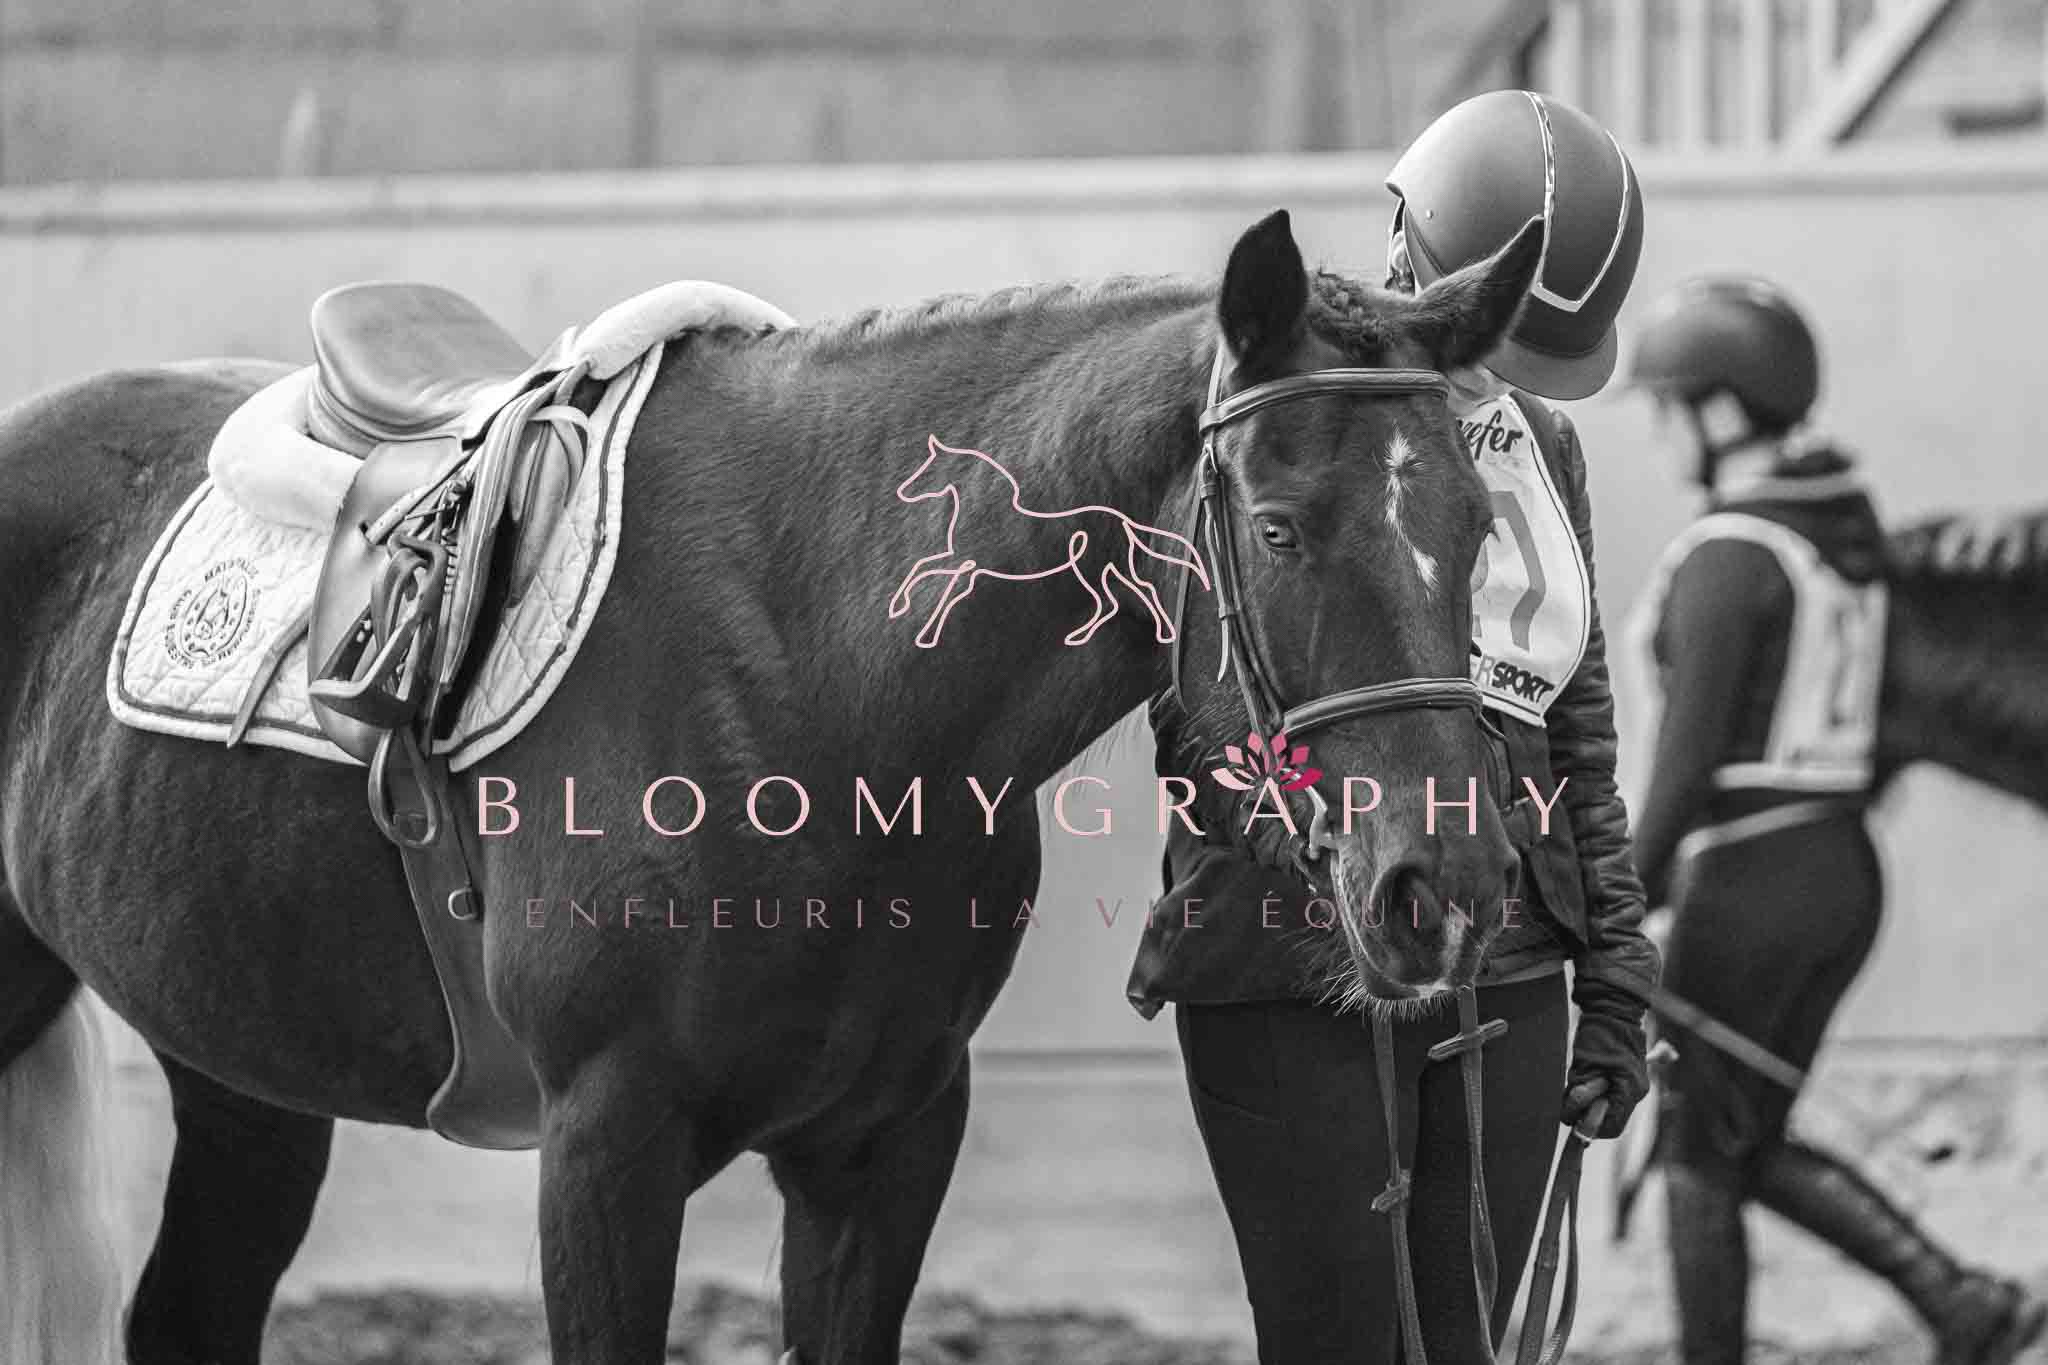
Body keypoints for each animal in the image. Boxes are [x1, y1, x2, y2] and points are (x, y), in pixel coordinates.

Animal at [0, 208, 1540, 1365]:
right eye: (1276, 529)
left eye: (1478, 522)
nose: (1446, 887)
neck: (817, 682)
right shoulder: (604, 1144)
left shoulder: (886, 1140)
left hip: (244, 1063)